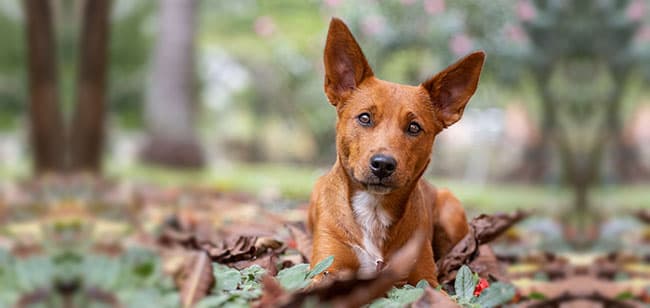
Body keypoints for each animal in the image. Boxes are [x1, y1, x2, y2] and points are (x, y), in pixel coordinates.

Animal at [306, 17, 484, 286]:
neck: (373, 211)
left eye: (414, 127)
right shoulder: (326, 268)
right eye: (365, 118)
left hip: (451, 212)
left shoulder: (425, 280)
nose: (383, 164)